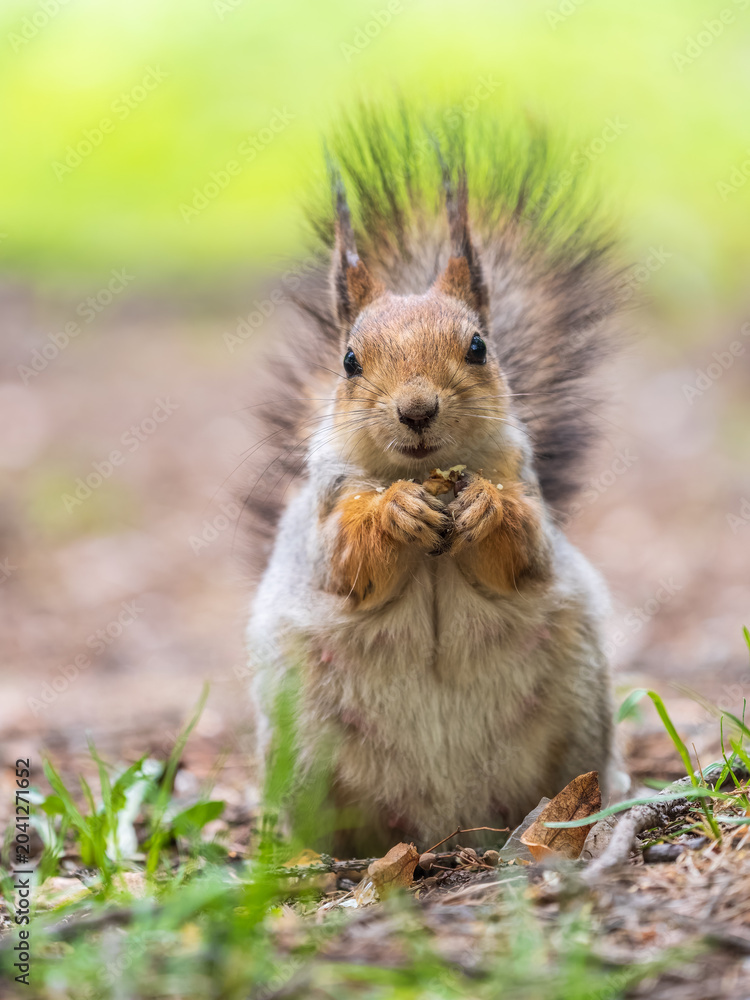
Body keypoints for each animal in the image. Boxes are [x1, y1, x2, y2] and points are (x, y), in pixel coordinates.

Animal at [244, 107, 627, 856]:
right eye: (349, 360)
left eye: (478, 346)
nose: (417, 409)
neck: (424, 472)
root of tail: (446, 829)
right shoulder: (326, 515)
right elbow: (349, 562)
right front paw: (394, 513)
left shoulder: (523, 484)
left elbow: (524, 552)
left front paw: (485, 508)